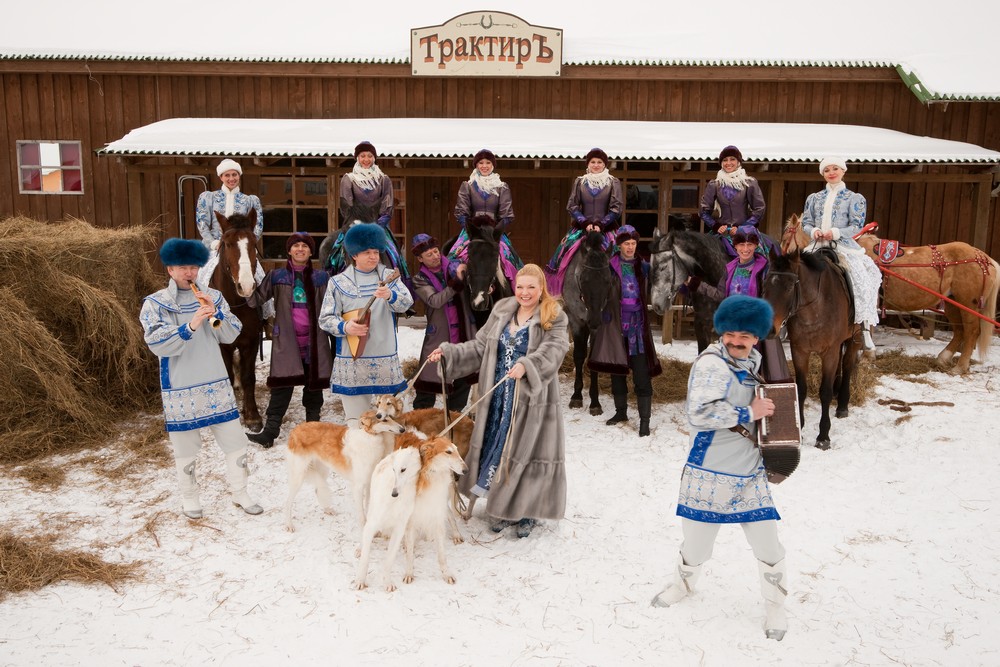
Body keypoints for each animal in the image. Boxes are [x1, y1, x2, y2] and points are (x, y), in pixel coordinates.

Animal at [564, 232, 616, 414]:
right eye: (584, 280)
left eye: (607, 281)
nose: (594, 320)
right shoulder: (576, 321)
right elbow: (579, 356)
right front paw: (576, 396)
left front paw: (595, 402)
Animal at [760, 253, 864, 452]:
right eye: (765, 285)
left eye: (789, 287)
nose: (769, 328)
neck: (814, 309)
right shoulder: (799, 351)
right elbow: (801, 388)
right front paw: (799, 427)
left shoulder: (829, 352)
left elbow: (825, 392)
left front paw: (823, 436)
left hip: (856, 336)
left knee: (847, 364)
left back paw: (842, 404)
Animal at [780, 218, 1000, 378]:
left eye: (784, 238)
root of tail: (985, 258)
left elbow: (868, 325)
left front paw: (868, 355)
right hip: (952, 304)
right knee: (960, 332)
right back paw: (943, 358)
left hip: (966, 303)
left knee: (971, 332)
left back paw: (960, 367)